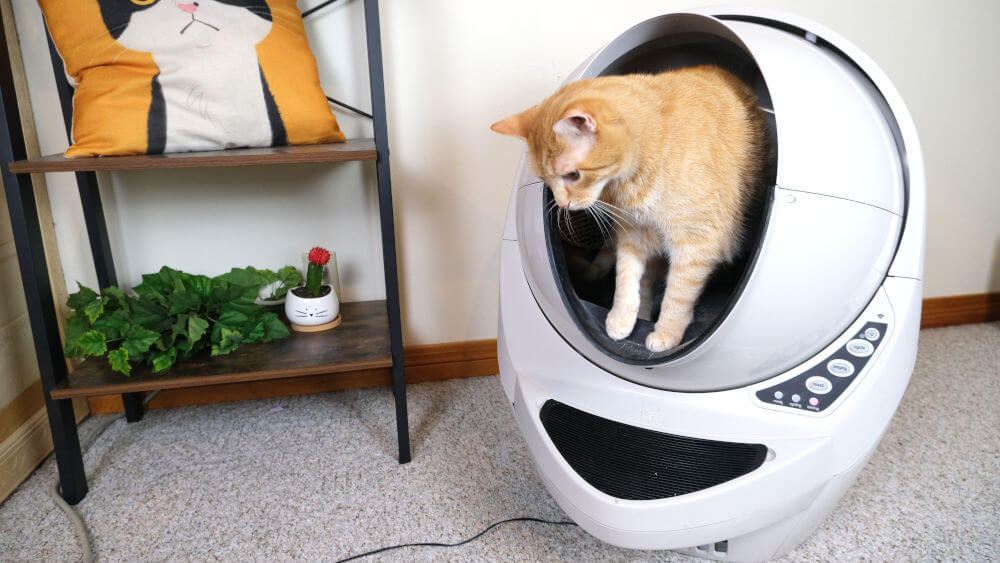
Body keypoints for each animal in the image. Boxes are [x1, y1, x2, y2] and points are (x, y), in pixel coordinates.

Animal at [492, 66, 764, 352]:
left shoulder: (695, 241)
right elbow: (626, 279)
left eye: (573, 175)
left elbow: (678, 293)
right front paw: (621, 318)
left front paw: (668, 332)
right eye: (545, 180)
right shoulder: (634, 232)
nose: (563, 204)